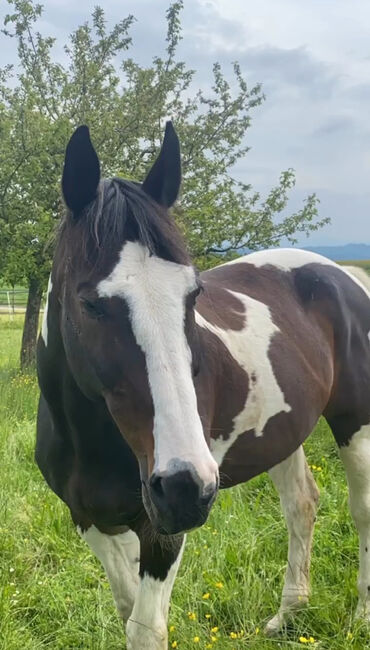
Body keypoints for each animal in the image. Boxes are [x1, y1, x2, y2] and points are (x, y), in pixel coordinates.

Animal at [36, 123, 370, 648]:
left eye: (193, 294)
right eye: (90, 304)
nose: (186, 484)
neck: (89, 439)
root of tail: (342, 274)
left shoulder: (161, 531)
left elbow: (145, 629)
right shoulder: (90, 518)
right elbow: (126, 610)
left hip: (354, 422)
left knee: (362, 510)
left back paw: (361, 616)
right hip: (280, 433)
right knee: (301, 505)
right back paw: (287, 616)